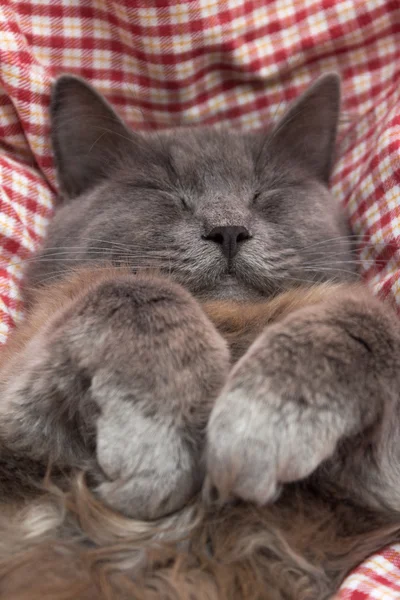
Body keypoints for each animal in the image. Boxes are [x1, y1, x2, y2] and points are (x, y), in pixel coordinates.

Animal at [0, 75, 400, 600]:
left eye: (266, 192)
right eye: (163, 192)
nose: (228, 228)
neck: (225, 318)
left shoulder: (371, 496)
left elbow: (368, 318)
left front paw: (259, 426)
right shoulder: (18, 409)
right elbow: (130, 287)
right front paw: (159, 446)